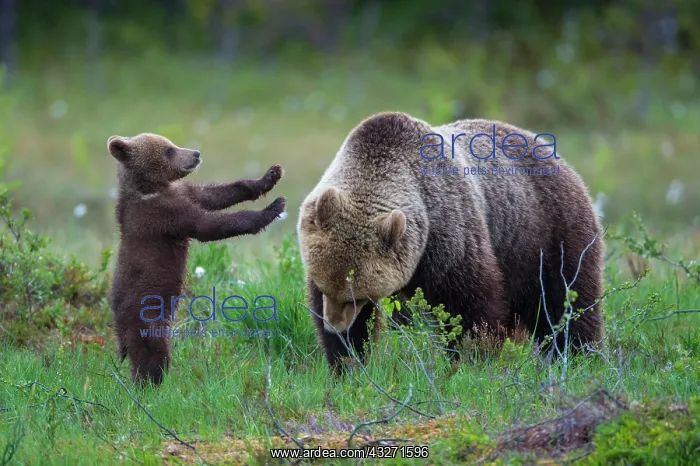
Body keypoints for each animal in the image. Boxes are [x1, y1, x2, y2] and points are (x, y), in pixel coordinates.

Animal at [108, 133, 286, 385]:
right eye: (169, 150)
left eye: (171, 143)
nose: (195, 153)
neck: (151, 189)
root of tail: (118, 326)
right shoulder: (162, 215)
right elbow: (210, 225)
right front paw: (273, 208)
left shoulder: (184, 192)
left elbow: (217, 194)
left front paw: (270, 176)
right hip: (145, 315)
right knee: (152, 353)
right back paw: (150, 385)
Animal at [296, 112, 604, 373]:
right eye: (325, 288)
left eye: (356, 296)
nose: (335, 326)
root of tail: (556, 157)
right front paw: (346, 360)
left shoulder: (447, 234)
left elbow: (468, 304)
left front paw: (473, 357)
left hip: (548, 235)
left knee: (565, 300)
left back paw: (577, 355)